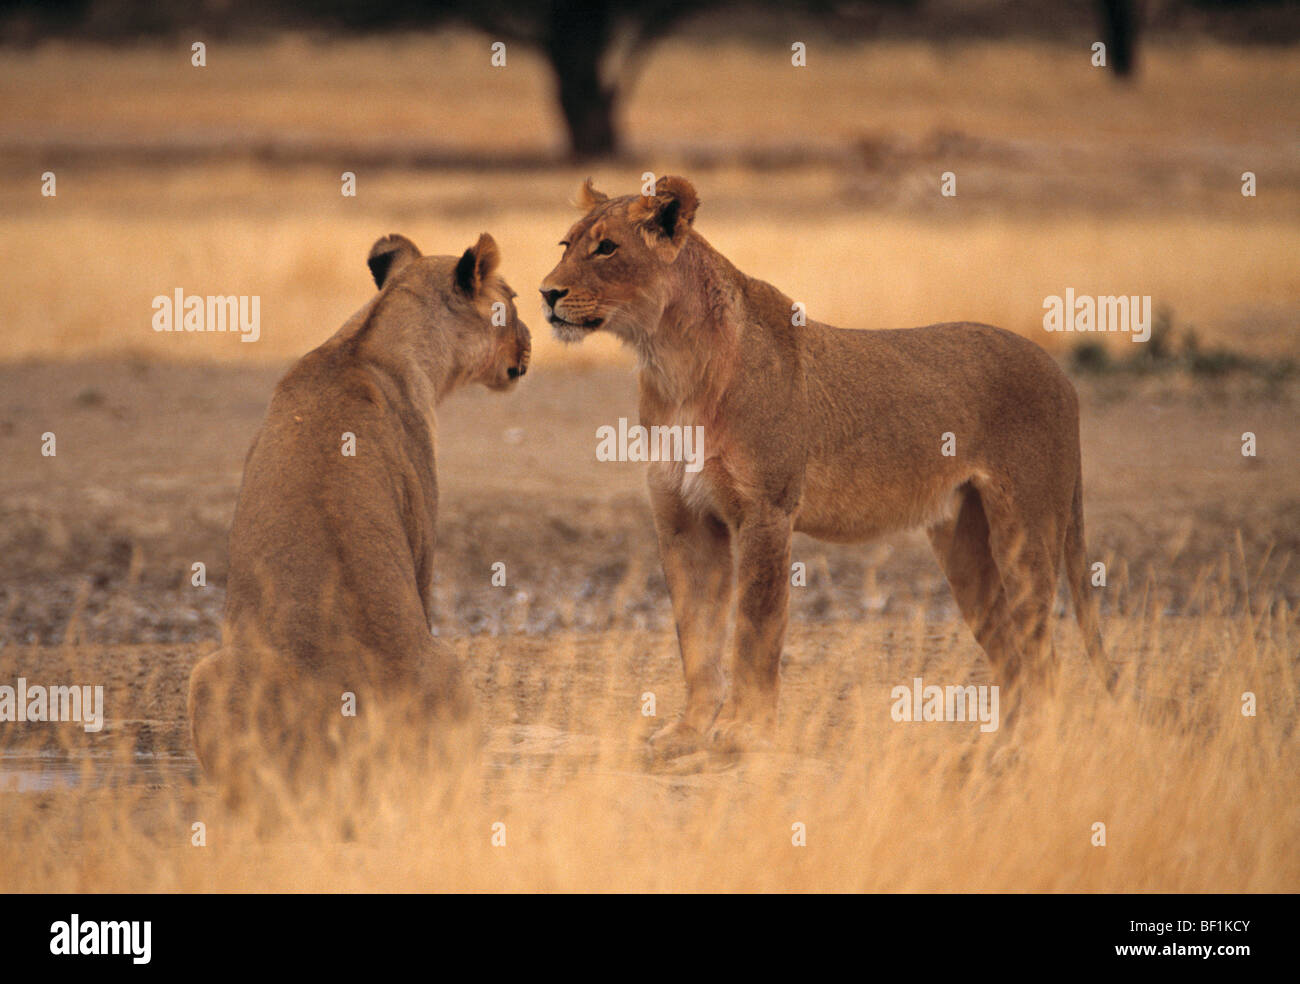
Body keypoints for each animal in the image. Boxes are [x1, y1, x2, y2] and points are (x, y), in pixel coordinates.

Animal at [543, 176, 1112, 753]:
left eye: (606, 248)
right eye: (566, 246)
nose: (546, 293)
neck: (670, 360)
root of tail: (1059, 371)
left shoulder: (766, 510)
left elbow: (755, 627)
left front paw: (743, 731)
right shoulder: (682, 518)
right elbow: (697, 635)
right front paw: (687, 731)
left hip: (1027, 531)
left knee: (1043, 658)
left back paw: (1030, 747)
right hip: (964, 547)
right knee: (1012, 655)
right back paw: (1001, 747)